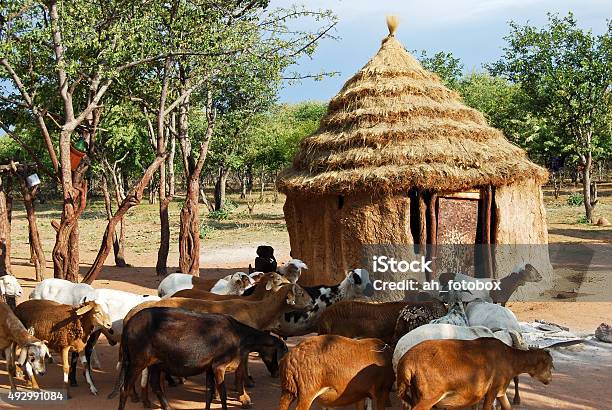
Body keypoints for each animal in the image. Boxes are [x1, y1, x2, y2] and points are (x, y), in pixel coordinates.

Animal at [110, 310, 286, 410]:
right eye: (280, 354)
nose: (277, 373)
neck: (240, 336)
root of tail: (128, 325)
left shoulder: (209, 368)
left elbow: (209, 394)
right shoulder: (219, 366)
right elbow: (222, 395)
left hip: (155, 363)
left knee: (156, 386)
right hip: (137, 361)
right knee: (124, 390)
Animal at [396, 338, 556, 408]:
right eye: (550, 364)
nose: (550, 379)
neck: (510, 359)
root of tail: (405, 362)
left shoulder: (501, 390)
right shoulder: (493, 389)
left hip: (415, 392)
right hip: (429, 396)